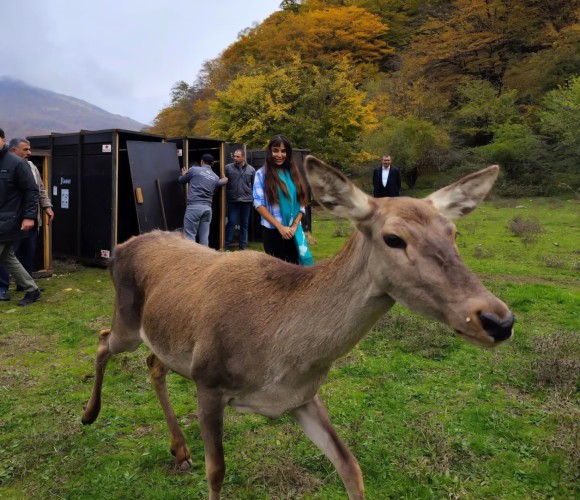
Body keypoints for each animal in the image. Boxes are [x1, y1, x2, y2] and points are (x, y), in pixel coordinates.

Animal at [80, 154, 512, 498]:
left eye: (453, 232)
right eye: (393, 238)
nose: (499, 319)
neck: (280, 353)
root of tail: (120, 247)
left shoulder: (301, 396)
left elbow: (351, 467)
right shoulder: (209, 380)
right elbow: (217, 472)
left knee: (153, 364)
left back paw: (180, 450)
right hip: (128, 322)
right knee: (102, 339)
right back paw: (89, 415)